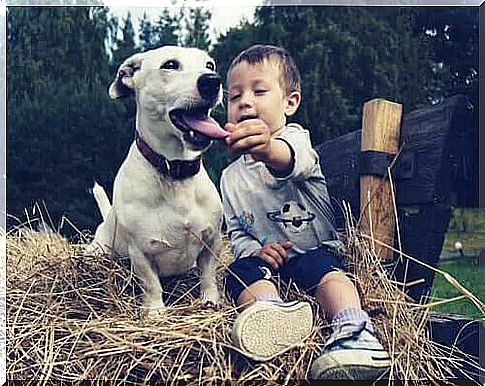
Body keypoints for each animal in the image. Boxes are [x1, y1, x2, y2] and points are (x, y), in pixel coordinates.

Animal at [91, 46, 227, 316]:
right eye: (170, 65)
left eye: (209, 65)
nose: (212, 81)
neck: (175, 170)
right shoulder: (140, 251)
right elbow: (151, 284)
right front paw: (155, 311)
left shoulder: (212, 241)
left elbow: (208, 275)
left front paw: (210, 300)